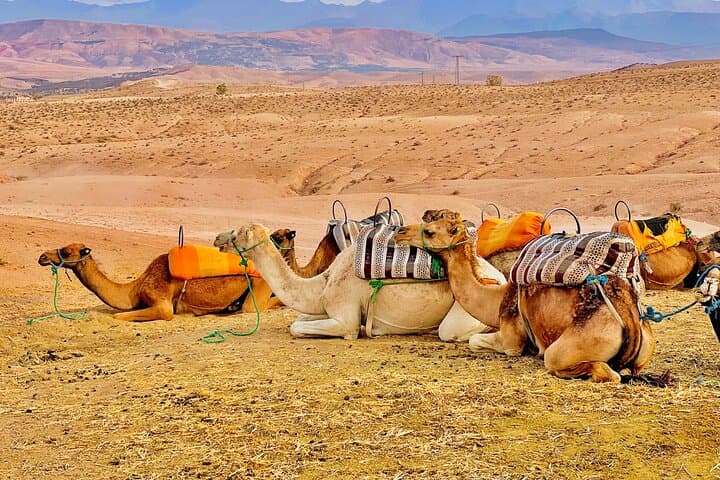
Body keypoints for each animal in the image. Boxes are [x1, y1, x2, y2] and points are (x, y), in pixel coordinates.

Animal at [38, 243, 282, 321]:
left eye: (66, 251)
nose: (42, 257)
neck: (134, 288)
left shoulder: (162, 303)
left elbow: (118, 316)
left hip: (260, 284)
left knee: (256, 306)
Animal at [215, 224, 503, 341]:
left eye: (238, 233)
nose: (218, 239)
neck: (323, 282)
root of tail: (499, 277)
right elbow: (297, 321)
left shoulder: (345, 316)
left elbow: (299, 328)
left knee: (452, 331)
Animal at [394, 213, 655, 383]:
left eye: (429, 231)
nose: (399, 232)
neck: (498, 298)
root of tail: (629, 316)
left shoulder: (512, 340)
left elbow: (476, 340)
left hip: (573, 345)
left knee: (603, 372)